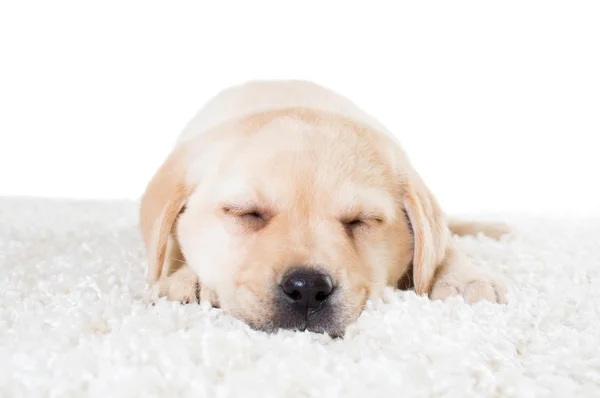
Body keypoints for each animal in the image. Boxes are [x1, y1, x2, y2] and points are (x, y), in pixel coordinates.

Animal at [138, 80, 508, 336]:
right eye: (247, 213)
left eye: (361, 221)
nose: (307, 288)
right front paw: (190, 280)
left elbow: (439, 248)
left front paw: (465, 279)